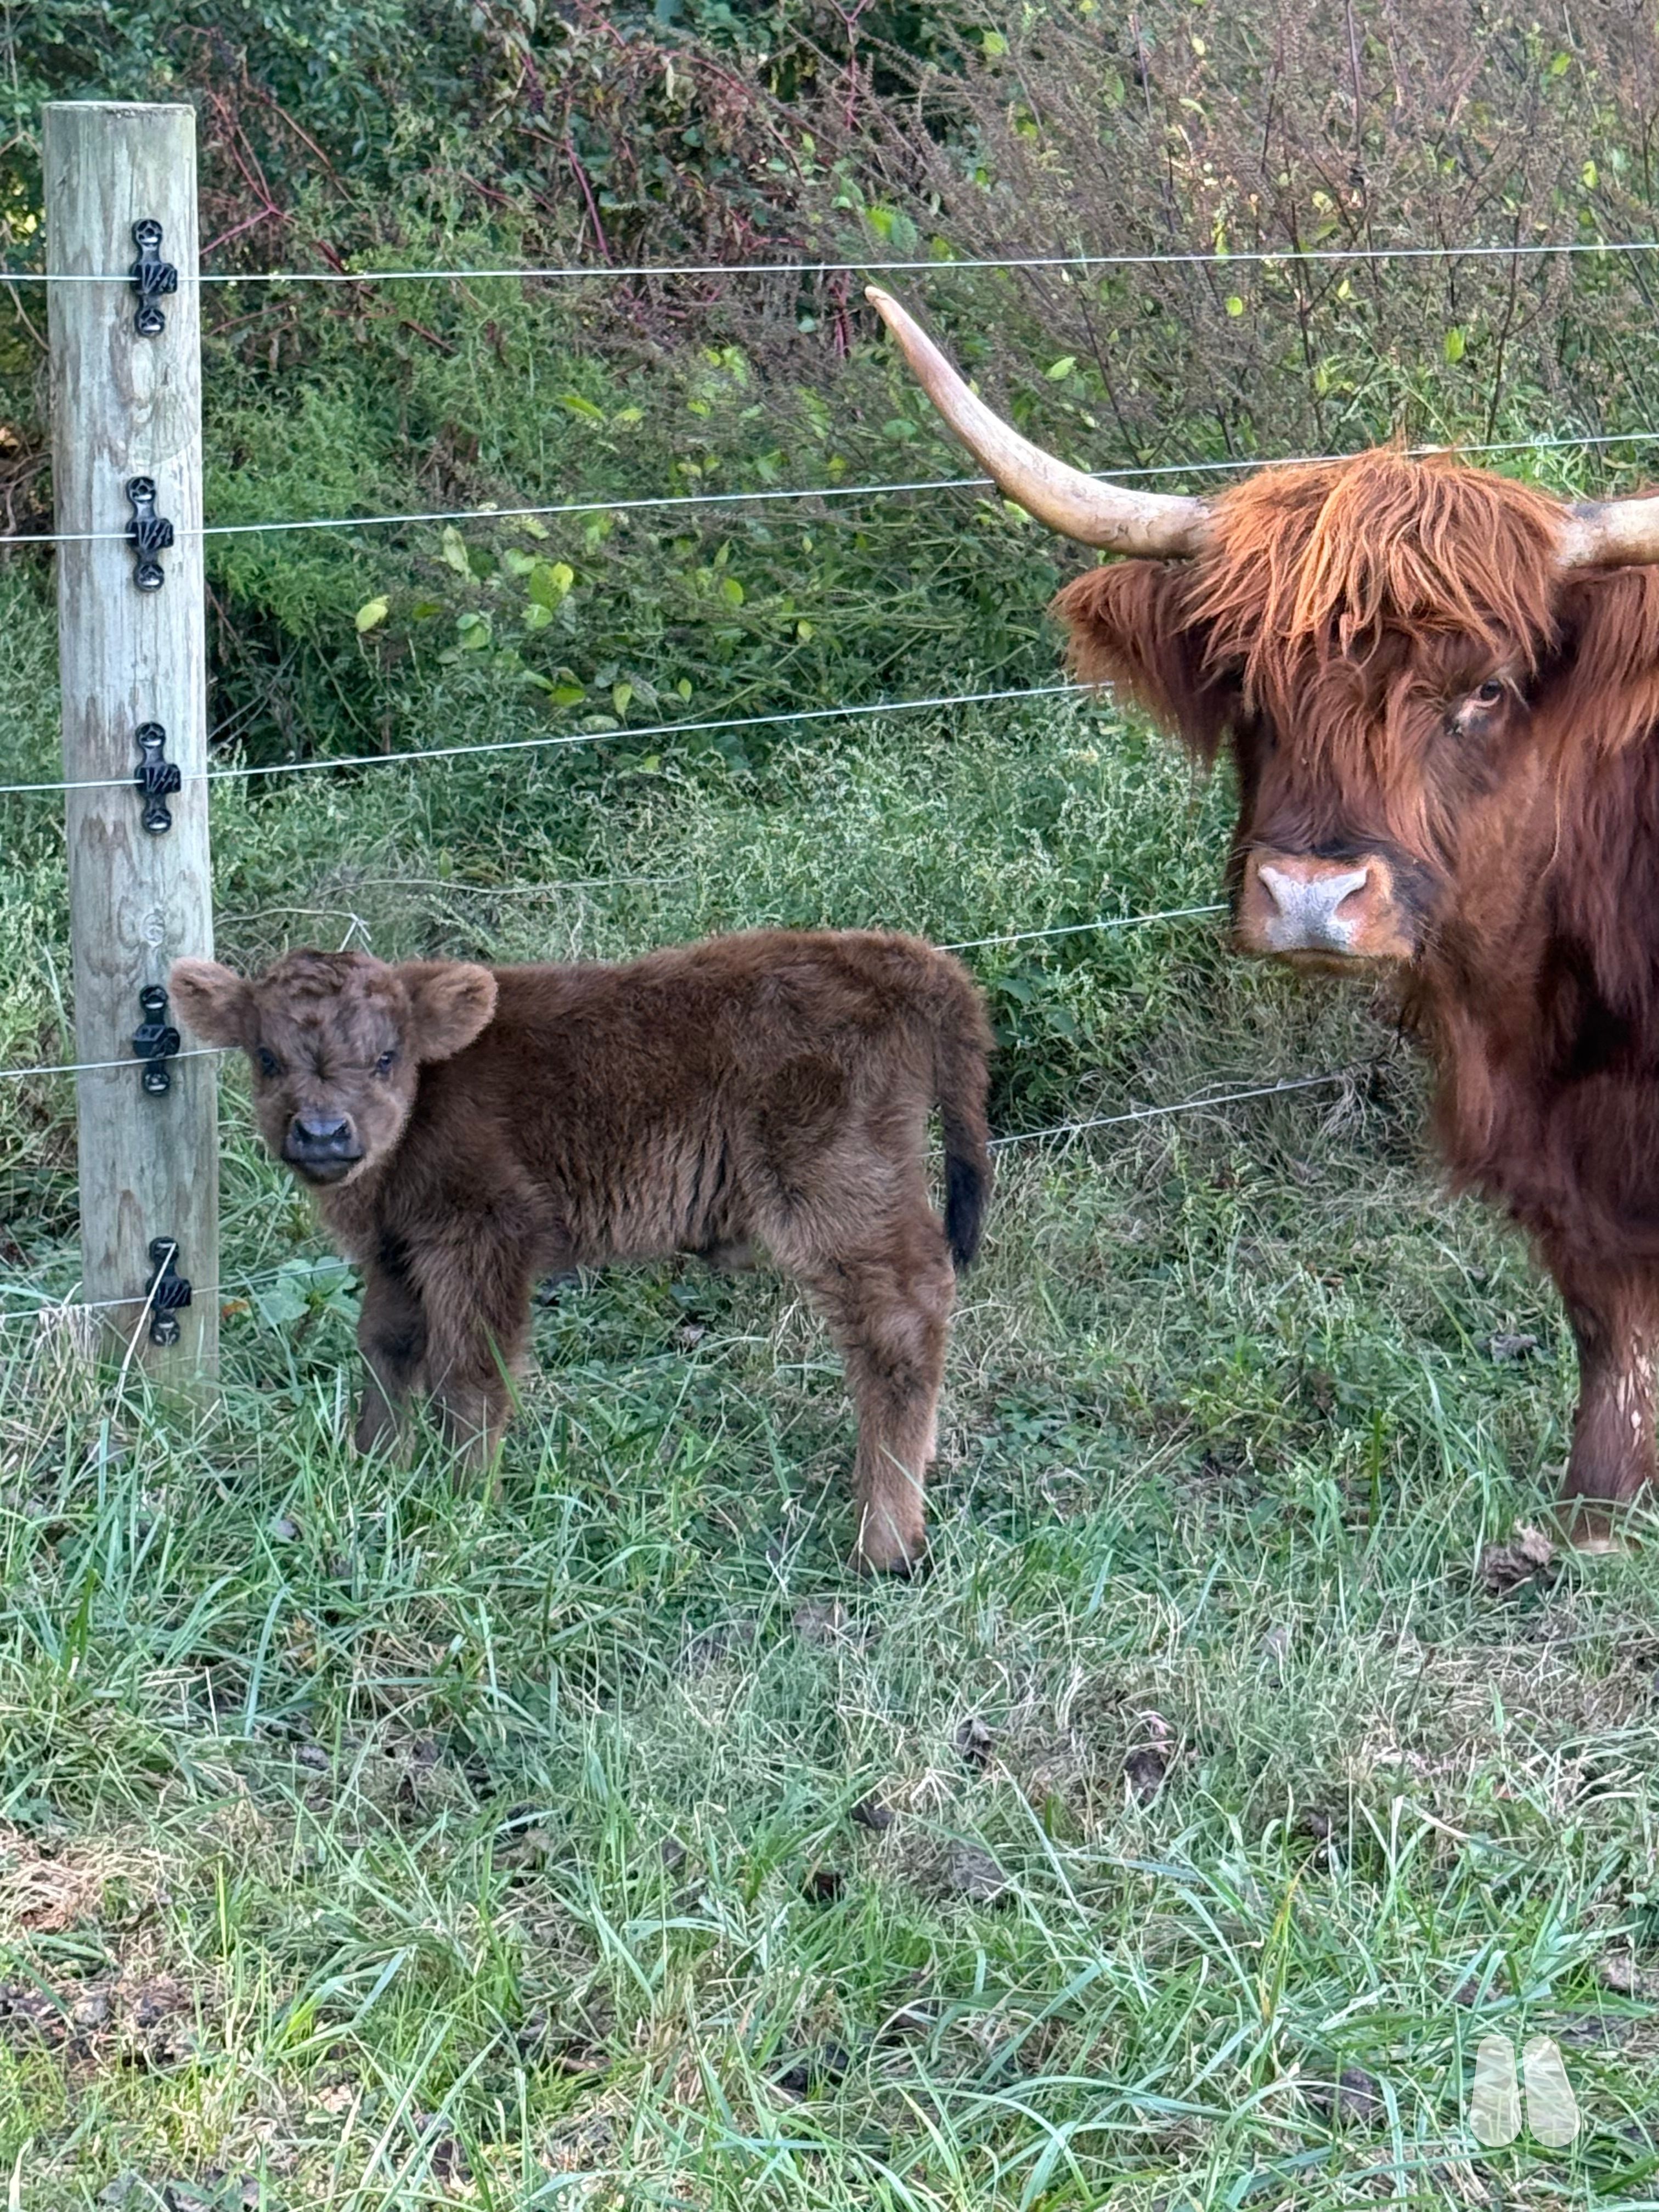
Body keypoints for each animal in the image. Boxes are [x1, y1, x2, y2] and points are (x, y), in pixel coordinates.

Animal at [170, 930, 993, 1575]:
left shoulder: (486, 1237)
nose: (322, 1133)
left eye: (385, 1057)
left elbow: (471, 1370)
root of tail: (891, 956)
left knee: (901, 1316)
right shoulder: (397, 1252)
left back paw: (885, 1543)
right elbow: (387, 1347)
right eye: (267, 1057)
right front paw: (373, 1472)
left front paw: (464, 1504)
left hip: (837, 1189)